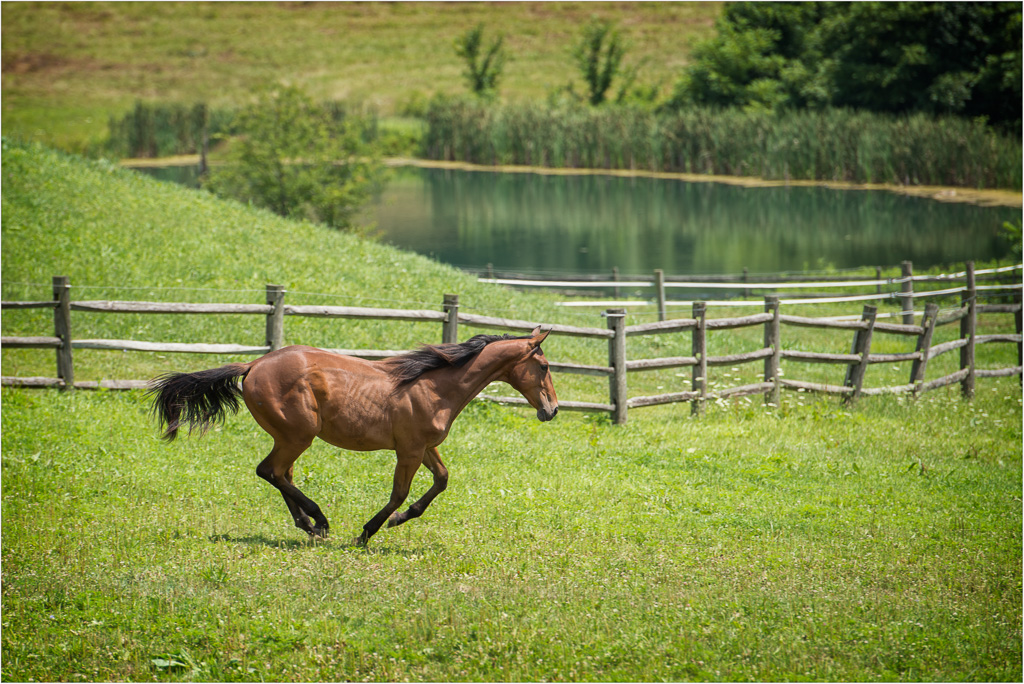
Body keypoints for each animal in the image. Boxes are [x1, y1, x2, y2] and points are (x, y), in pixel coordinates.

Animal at [148, 327, 557, 548]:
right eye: (544, 365)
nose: (551, 410)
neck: (435, 387)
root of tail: (253, 365)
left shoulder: (425, 447)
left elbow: (441, 481)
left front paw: (399, 520)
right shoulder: (409, 451)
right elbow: (399, 493)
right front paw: (368, 532)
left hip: (290, 437)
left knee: (281, 474)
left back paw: (309, 526)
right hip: (298, 435)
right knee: (270, 471)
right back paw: (320, 520)